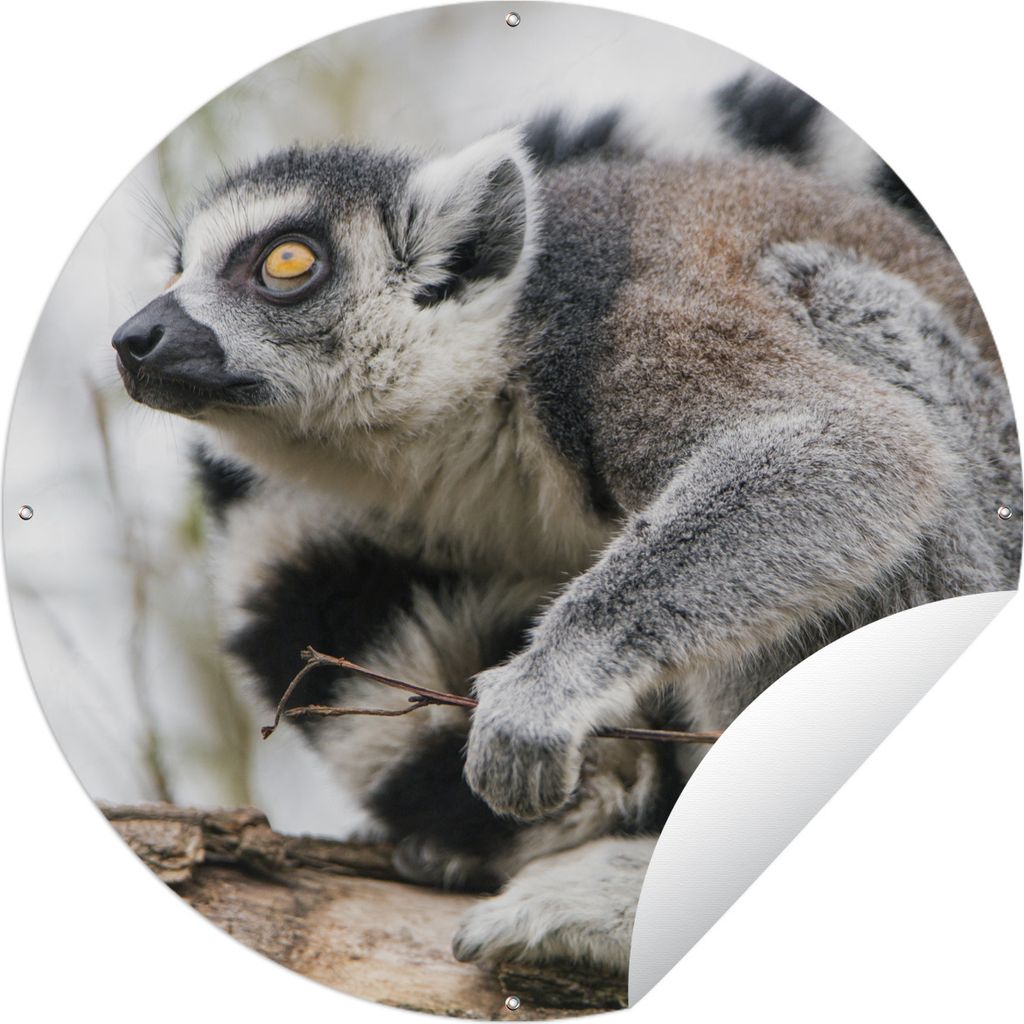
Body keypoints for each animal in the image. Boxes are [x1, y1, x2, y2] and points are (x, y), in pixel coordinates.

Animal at [111, 73, 1021, 973]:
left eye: (288, 263)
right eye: (179, 267)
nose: (135, 336)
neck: (497, 388)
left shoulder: (633, 333)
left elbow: (850, 448)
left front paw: (543, 690)